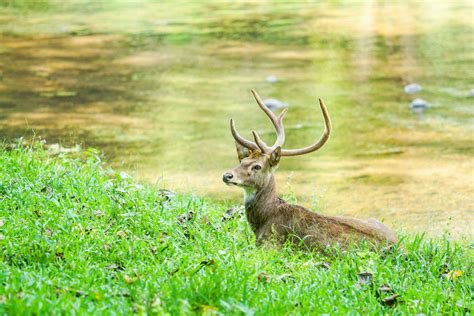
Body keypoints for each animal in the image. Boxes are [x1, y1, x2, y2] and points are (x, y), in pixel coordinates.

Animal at [222, 89, 396, 252]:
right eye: (242, 161)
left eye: (257, 166)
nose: (227, 175)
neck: (263, 219)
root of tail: (397, 246)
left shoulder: (269, 242)